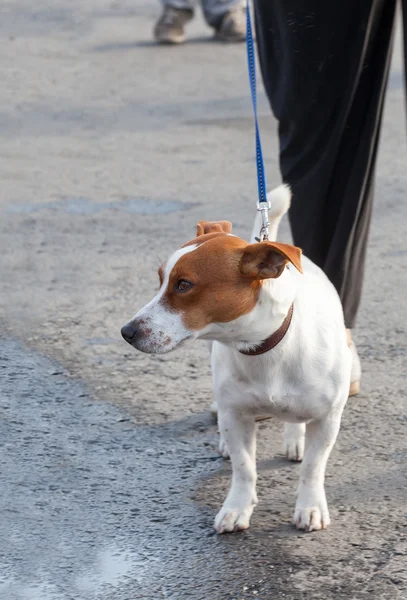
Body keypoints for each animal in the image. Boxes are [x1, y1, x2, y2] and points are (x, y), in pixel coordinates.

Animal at [120, 186, 350, 536]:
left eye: (184, 284)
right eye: (160, 279)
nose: (126, 332)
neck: (263, 348)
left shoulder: (327, 419)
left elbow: (313, 467)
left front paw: (310, 506)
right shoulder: (236, 414)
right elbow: (245, 468)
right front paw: (237, 507)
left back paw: (295, 439)